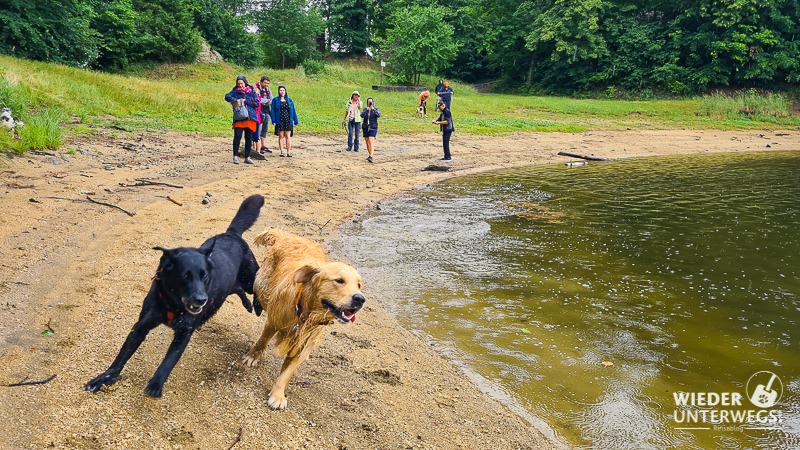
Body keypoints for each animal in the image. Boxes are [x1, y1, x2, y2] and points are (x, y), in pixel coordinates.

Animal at [86, 194, 266, 398]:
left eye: (205, 276)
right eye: (184, 276)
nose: (201, 300)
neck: (173, 305)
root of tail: (232, 234)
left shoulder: (184, 333)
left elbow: (169, 360)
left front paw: (156, 385)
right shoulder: (141, 326)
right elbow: (122, 356)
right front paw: (103, 378)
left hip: (249, 279)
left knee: (259, 284)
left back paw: (257, 305)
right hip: (231, 285)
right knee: (236, 289)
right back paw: (247, 305)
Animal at [242, 230, 364, 410]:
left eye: (359, 285)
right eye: (339, 280)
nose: (360, 299)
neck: (307, 310)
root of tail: (287, 235)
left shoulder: (304, 341)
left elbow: (287, 373)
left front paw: (278, 395)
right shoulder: (275, 319)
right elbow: (263, 339)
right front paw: (252, 356)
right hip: (263, 285)